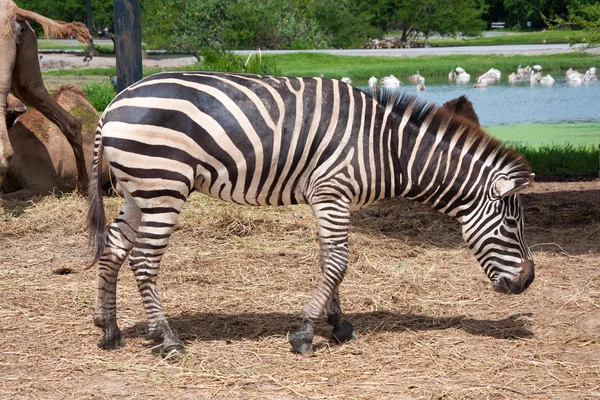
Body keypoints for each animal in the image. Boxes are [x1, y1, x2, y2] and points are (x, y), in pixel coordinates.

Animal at [85, 70, 536, 354]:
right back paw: (168, 340)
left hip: (139, 189)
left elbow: (327, 260)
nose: (528, 281)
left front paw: (336, 323)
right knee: (143, 261)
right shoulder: (334, 191)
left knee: (113, 247)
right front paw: (303, 334)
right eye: (512, 223)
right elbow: (337, 261)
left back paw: (110, 330)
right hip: (164, 185)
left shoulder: (330, 199)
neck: (389, 149)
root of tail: (113, 104)